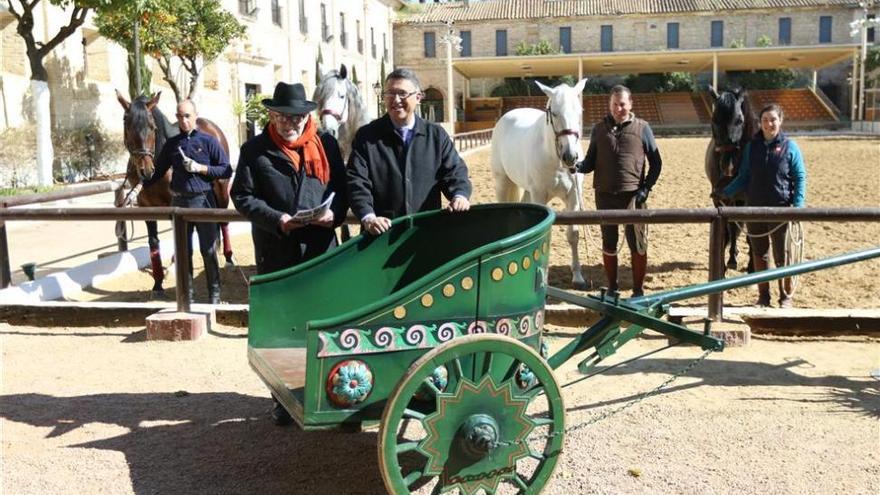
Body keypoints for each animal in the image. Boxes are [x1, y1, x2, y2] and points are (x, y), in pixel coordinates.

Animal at [117, 91, 235, 296]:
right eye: (127, 125)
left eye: (152, 127)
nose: (146, 171)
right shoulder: (146, 205)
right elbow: (153, 242)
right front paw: (157, 284)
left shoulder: (175, 203)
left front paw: (172, 268)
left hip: (221, 189)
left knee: (223, 221)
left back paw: (228, 258)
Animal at [492, 79, 588, 288]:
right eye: (555, 113)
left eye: (579, 111)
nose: (571, 157)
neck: (555, 160)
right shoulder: (540, 196)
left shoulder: (573, 198)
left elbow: (573, 235)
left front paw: (578, 277)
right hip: (502, 182)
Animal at [700, 85, 756, 272]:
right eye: (714, 119)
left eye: (739, 120)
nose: (726, 165)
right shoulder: (720, 199)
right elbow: (727, 227)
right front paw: (725, 262)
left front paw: (752, 265)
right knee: (732, 227)